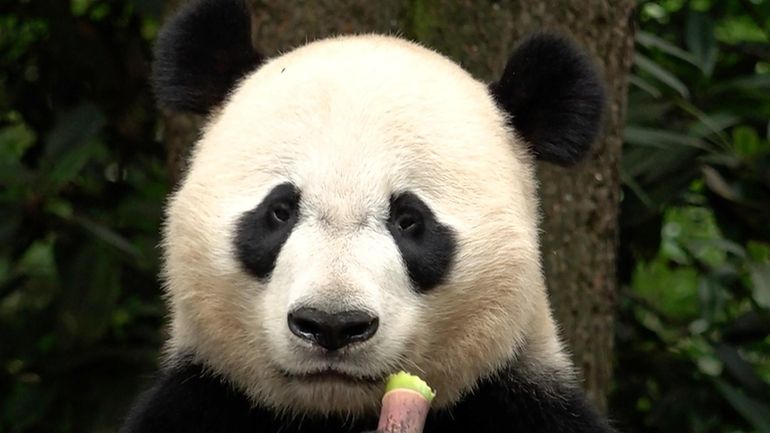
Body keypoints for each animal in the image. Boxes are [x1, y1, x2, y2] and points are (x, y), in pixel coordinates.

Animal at [120, 0, 616, 430]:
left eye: (409, 220)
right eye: (280, 211)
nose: (331, 324)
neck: (337, 414)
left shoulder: (523, 399)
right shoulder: (199, 397)